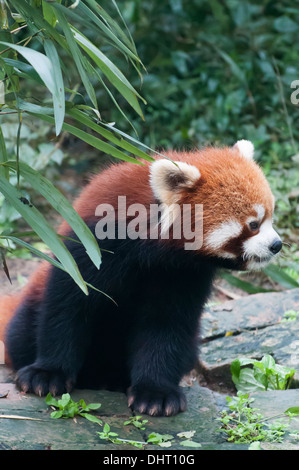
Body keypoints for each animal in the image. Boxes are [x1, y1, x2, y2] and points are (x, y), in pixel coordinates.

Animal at [0, 140, 282, 414]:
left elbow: (166, 326)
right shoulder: (93, 243)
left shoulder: (182, 274)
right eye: (253, 224)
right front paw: (47, 373)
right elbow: (67, 307)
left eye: (270, 217)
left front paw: (155, 393)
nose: (277, 245)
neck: (152, 250)